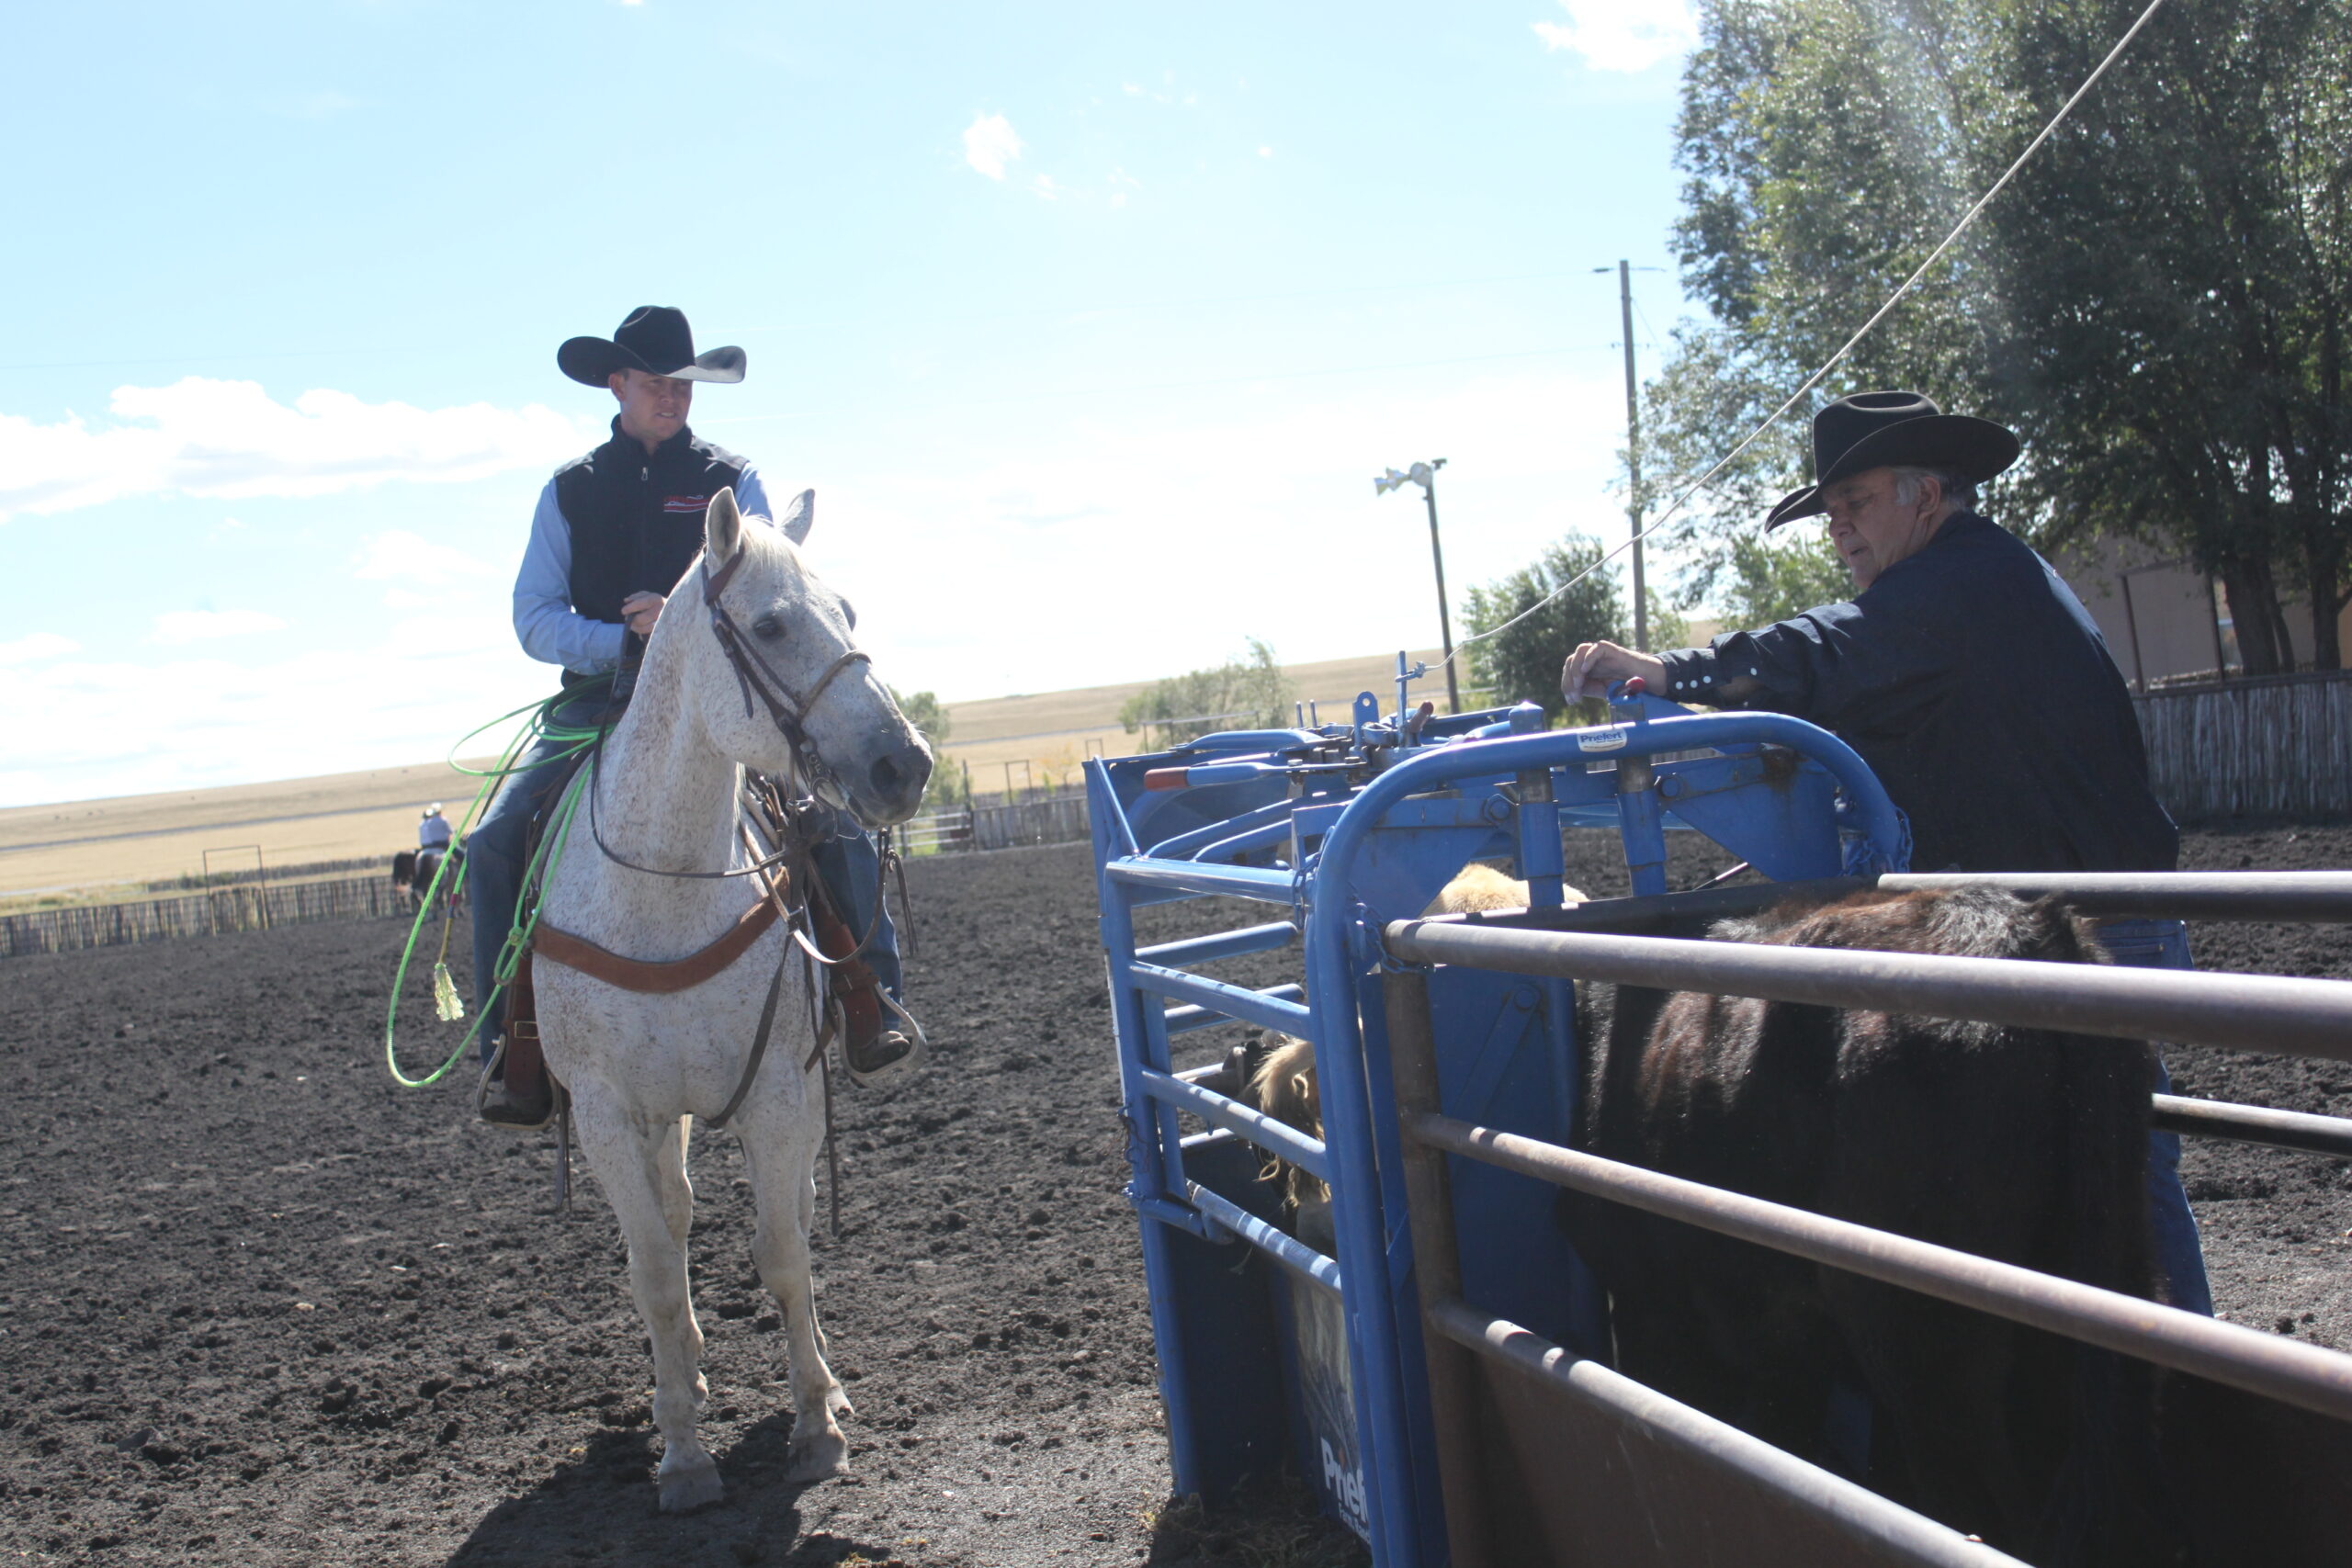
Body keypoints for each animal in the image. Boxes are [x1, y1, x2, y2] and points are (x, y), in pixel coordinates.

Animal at [538, 486, 931, 1504]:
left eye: (850, 614)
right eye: (770, 624)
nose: (904, 765)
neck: (665, 889)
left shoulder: (779, 1095)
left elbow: (783, 1251)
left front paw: (816, 1423)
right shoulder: (608, 1114)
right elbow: (655, 1272)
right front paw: (680, 1450)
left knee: (789, 1214)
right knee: (675, 1223)